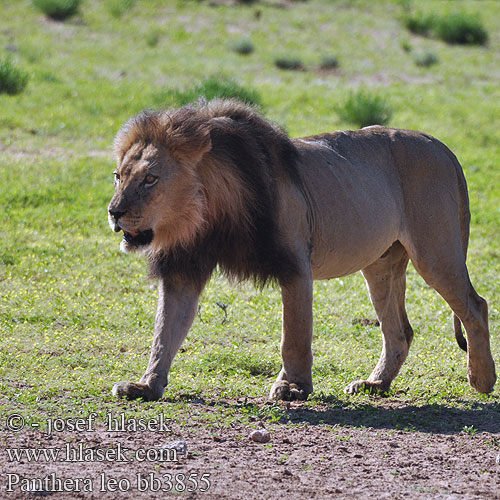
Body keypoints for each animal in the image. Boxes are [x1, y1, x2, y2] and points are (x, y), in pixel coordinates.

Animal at [108, 98, 496, 402]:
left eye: (150, 179)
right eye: (118, 176)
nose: (114, 212)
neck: (209, 213)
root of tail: (441, 146)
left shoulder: (295, 265)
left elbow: (294, 334)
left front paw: (293, 387)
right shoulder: (183, 269)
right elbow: (165, 332)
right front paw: (146, 386)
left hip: (435, 251)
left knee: (475, 305)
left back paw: (482, 380)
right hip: (381, 265)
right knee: (399, 330)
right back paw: (375, 384)